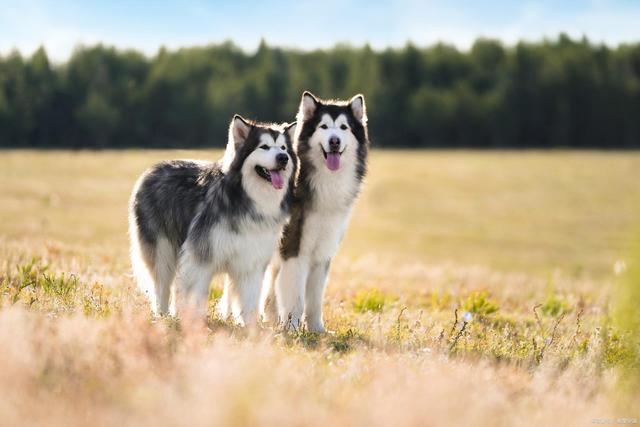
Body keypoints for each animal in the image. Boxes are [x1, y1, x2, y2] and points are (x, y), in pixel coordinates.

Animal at [131, 115, 300, 326]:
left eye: (283, 148)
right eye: (264, 147)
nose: (283, 158)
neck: (246, 197)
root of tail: (151, 170)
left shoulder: (251, 261)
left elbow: (249, 300)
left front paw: (251, 328)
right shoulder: (200, 257)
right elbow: (197, 295)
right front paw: (195, 323)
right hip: (162, 252)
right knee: (161, 286)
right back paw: (162, 317)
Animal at [262, 91, 370, 334]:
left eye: (343, 127)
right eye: (323, 126)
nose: (334, 141)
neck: (325, 181)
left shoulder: (322, 255)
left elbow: (314, 299)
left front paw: (316, 330)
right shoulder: (295, 251)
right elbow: (296, 297)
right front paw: (292, 328)